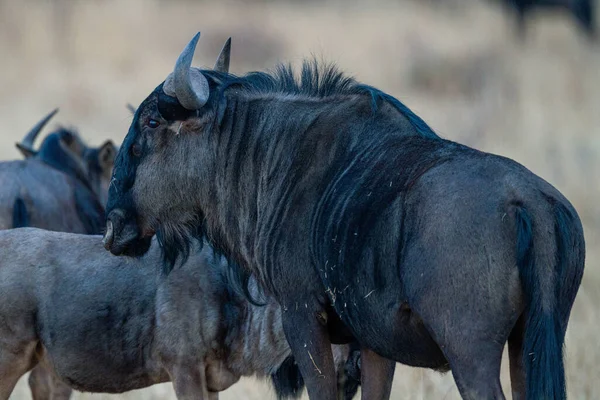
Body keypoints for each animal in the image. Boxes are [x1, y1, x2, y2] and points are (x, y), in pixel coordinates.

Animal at [104, 34, 584, 400]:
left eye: (151, 122)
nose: (113, 227)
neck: (273, 157)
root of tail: (530, 203)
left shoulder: (302, 316)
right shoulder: (373, 341)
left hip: (471, 353)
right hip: (531, 345)